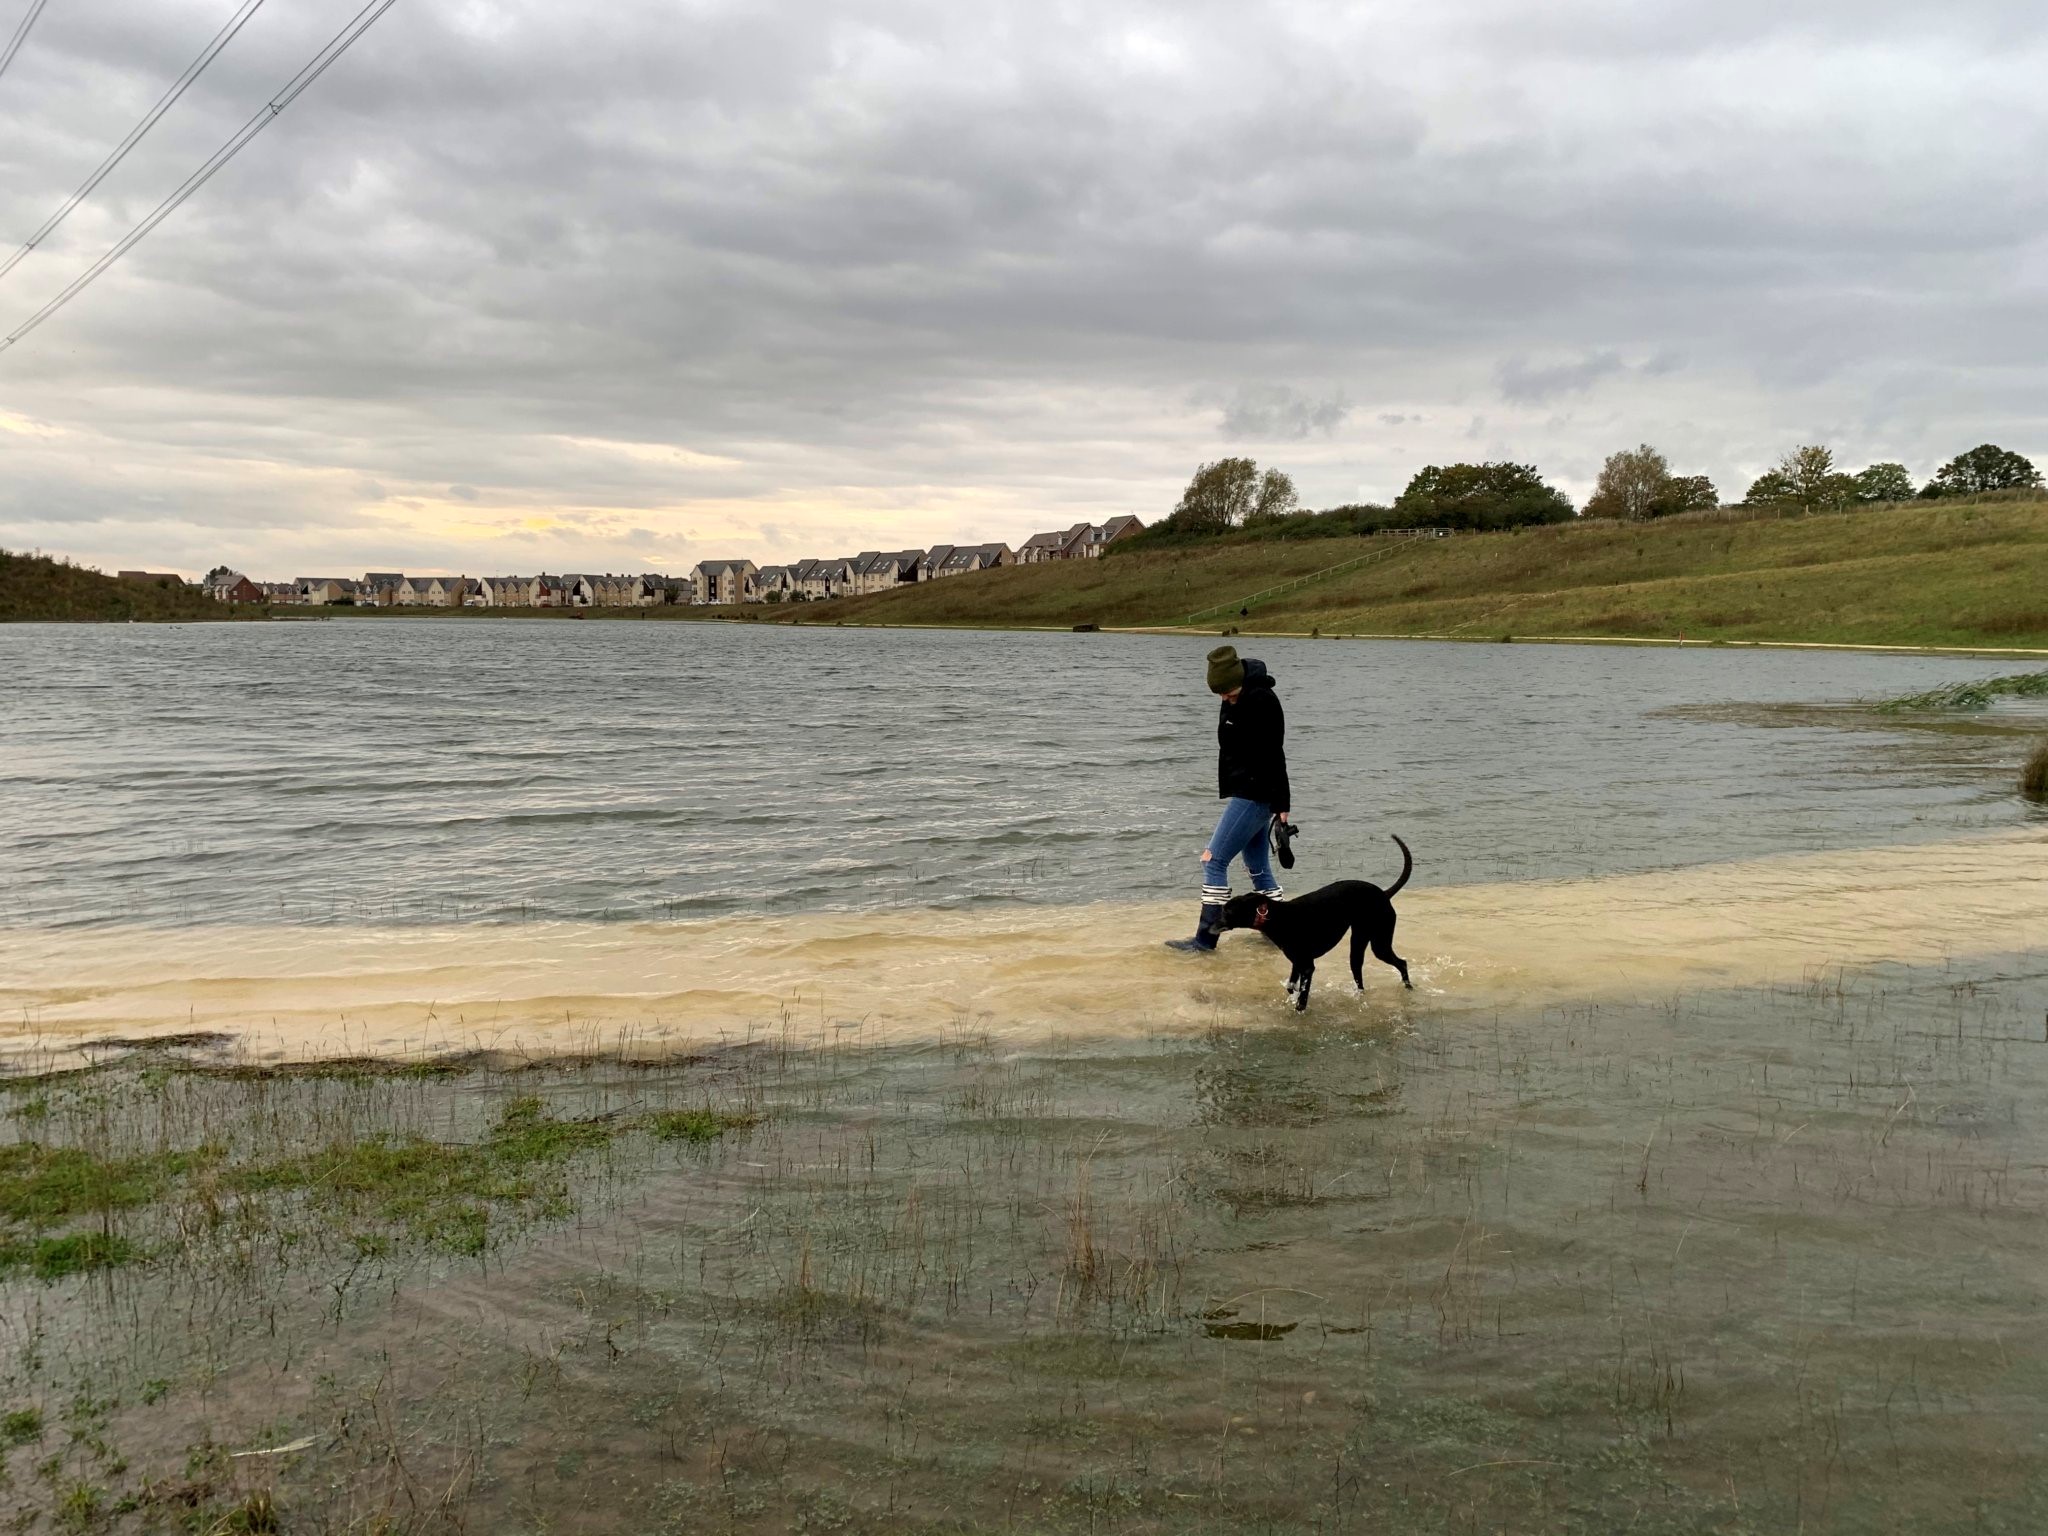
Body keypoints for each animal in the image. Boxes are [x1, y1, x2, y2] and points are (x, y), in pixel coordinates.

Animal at [1212, 835, 1409, 1015]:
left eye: (1227, 911)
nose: (1209, 927)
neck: (1278, 917)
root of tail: (1384, 894)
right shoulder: (1297, 962)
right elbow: (1291, 985)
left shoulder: (1307, 965)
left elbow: (1302, 997)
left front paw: (1299, 1008)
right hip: (1359, 942)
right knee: (1359, 973)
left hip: (1379, 943)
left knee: (1402, 963)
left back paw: (1408, 987)